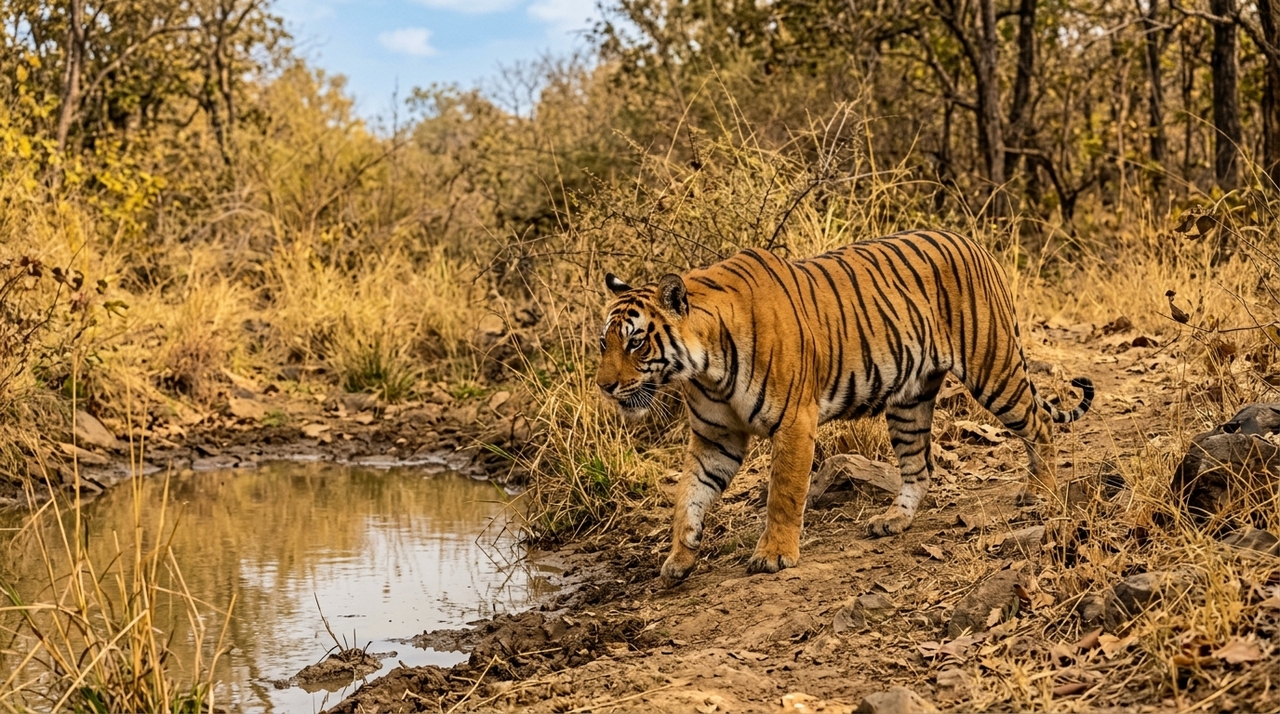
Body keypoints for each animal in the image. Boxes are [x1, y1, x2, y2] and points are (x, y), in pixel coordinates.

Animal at [595, 229, 1094, 582]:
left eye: (636, 342)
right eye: (604, 343)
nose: (604, 386)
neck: (705, 369)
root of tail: (975, 244)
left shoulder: (795, 422)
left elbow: (784, 493)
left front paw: (774, 555)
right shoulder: (716, 438)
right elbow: (689, 495)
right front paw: (681, 556)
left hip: (993, 368)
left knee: (1040, 425)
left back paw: (1041, 492)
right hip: (909, 401)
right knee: (919, 467)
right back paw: (893, 520)